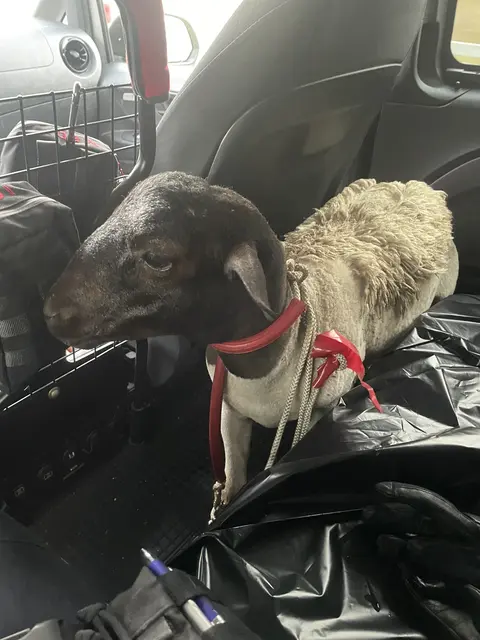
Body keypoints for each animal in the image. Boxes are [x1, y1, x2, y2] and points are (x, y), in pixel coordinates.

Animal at [43, 172, 459, 516]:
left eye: (157, 258)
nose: (50, 311)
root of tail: (421, 189)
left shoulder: (318, 411)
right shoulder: (230, 409)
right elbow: (233, 471)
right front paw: (226, 505)